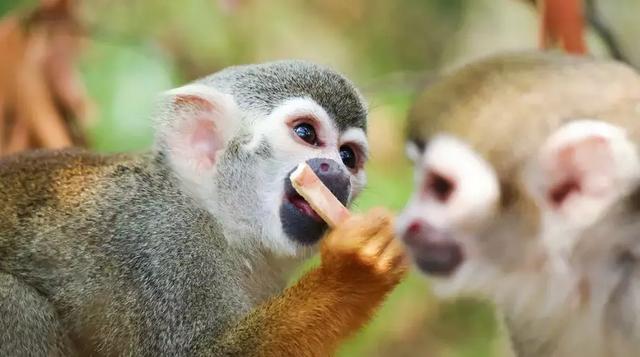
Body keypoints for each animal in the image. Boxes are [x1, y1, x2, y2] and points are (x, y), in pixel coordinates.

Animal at [0, 59, 408, 354]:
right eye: (305, 133)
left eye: (348, 156)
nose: (335, 171)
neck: (216, 217)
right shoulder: (165, 245)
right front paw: (354, 269)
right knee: (16, 303)